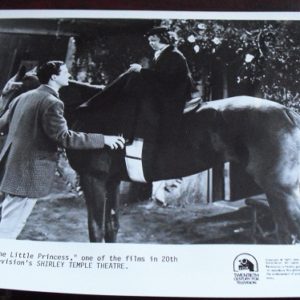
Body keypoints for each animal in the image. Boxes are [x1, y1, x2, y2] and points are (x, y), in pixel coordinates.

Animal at [1, 69, 300, 244]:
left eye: (14, 87)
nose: (5, 121)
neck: (93, 110)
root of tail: (287, 112)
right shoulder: (112, 181)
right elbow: (111, 227)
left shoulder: (92, 178)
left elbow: (96, 229)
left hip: (281, 191)